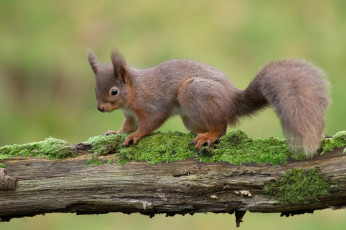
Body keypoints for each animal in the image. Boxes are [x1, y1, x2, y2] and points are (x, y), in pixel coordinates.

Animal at [86, 49, 330, 158]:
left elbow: (150, 123)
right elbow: (127, 125)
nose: (100, 108)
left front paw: (135, 136)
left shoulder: (152, 105)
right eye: (95, 90)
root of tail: (232, 102)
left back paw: (208, 136)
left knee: (221, 128)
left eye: (114, 92)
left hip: (193, 93)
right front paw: (115, 132)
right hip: (190, 117)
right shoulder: (129, 114)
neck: (135, 91)